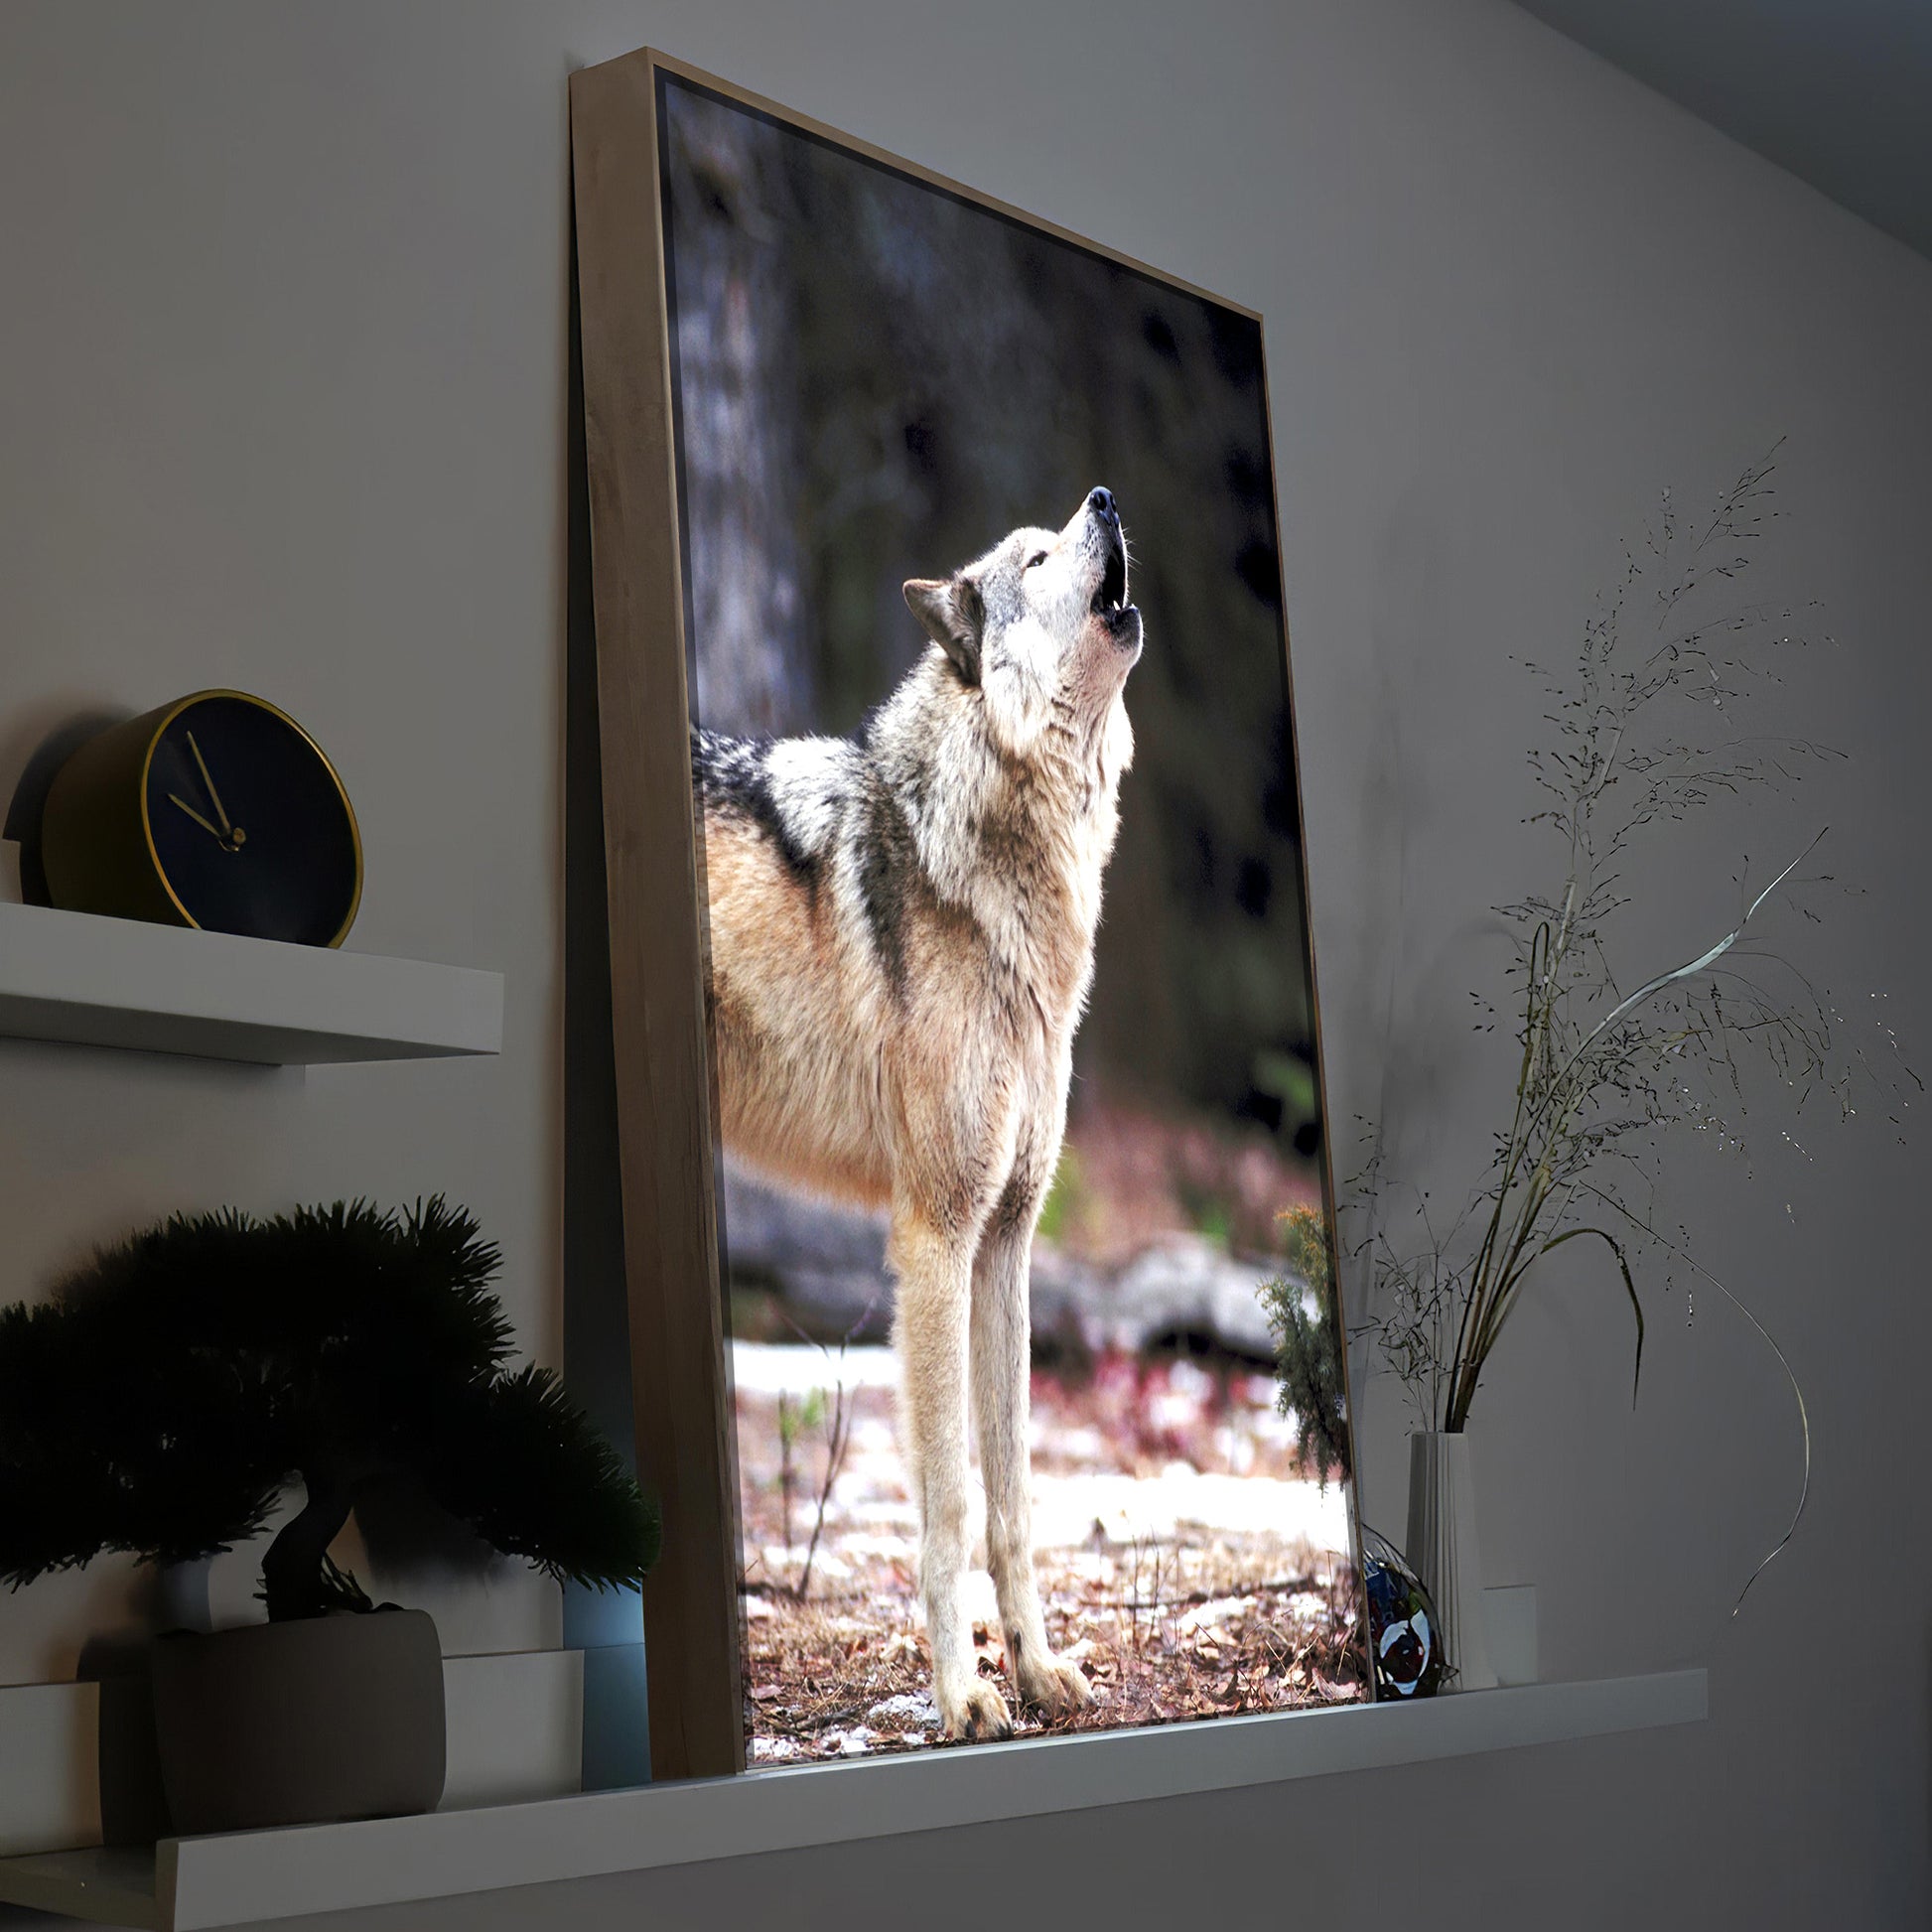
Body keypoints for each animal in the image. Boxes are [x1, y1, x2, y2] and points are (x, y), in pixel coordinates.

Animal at [695, 487, 1142, 1740]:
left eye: (1058, 533)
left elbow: (1013, 1499)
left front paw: (1036, 1670)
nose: (1104, 499)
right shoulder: (934, 1239)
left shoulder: (1006, 1242)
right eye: (1032, 557)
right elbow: (947, 1506)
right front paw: (960, 1693)